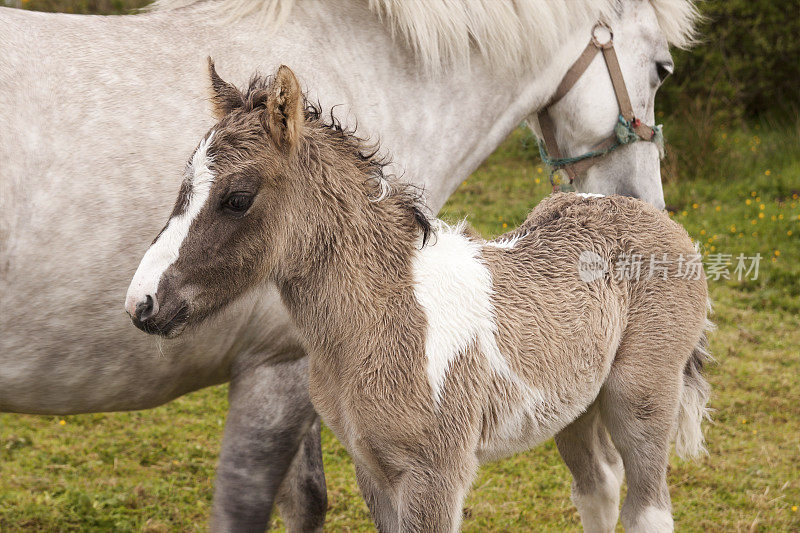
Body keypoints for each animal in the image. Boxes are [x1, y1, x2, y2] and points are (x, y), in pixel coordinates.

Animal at [126, 63, 712, 532]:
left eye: (237, 199)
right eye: (183, 188)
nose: (142, 304)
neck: (385, 316)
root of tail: (657, 219)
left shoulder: (436, 473)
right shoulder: (370, 465)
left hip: (642, 394)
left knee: (648, 508)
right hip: (572, 405)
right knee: (598, 486)